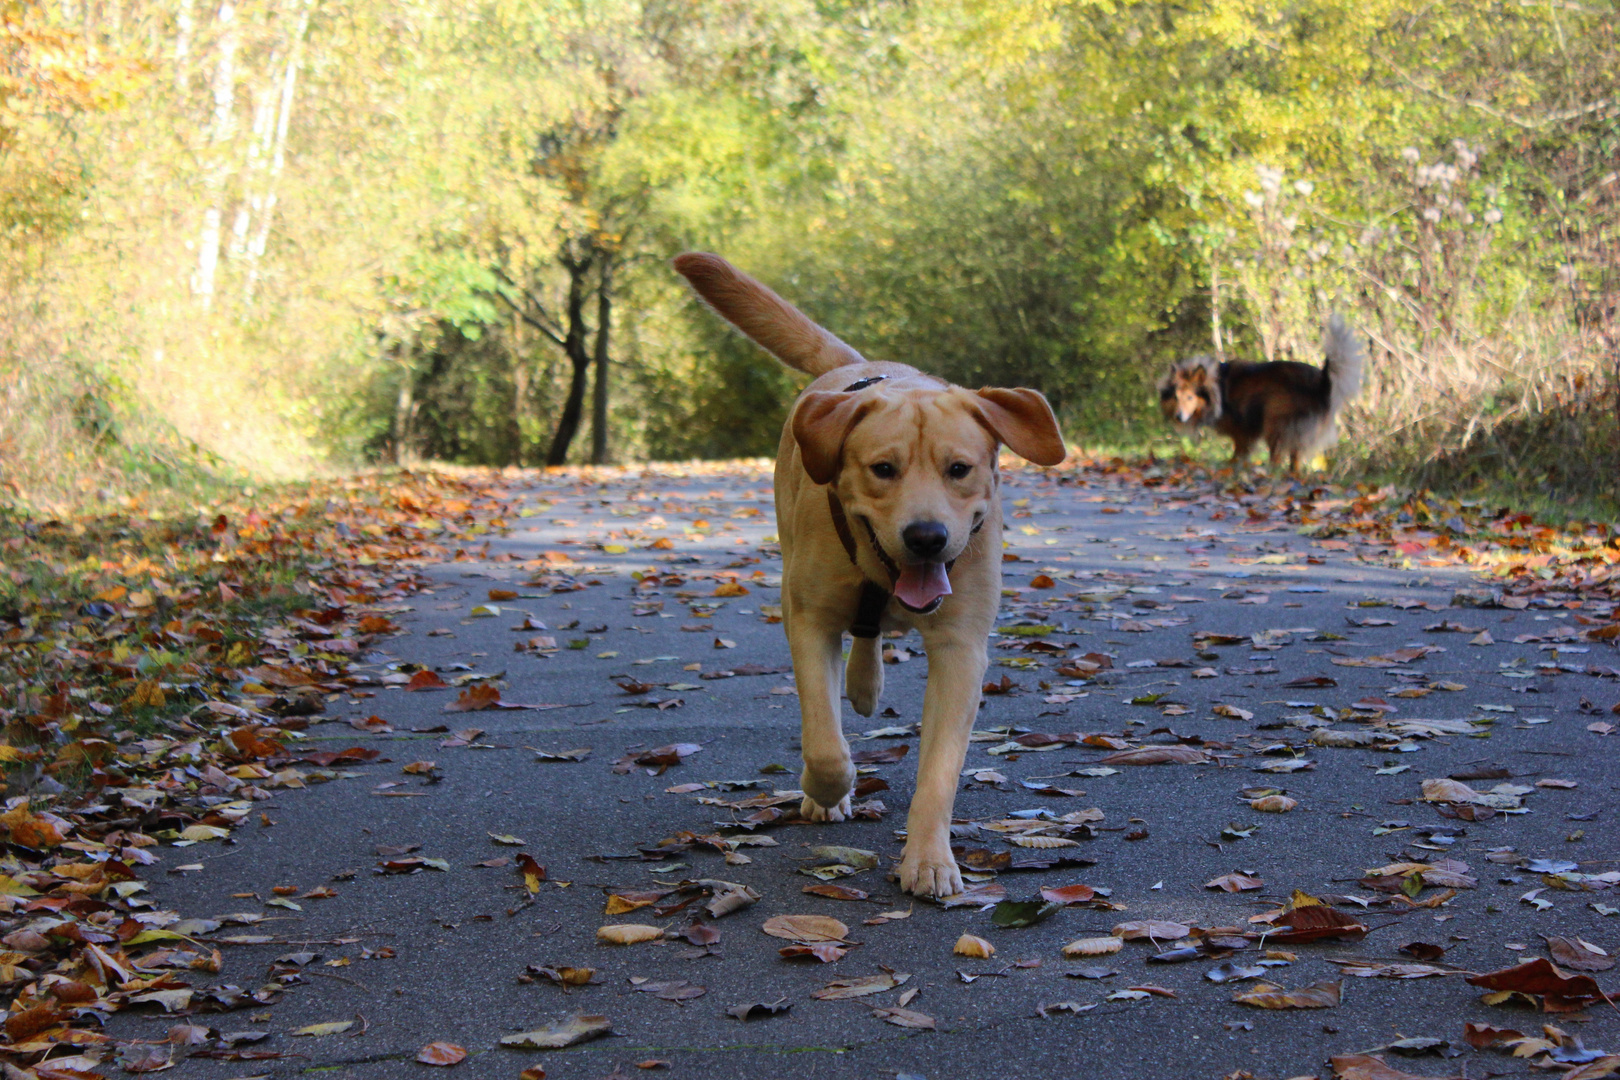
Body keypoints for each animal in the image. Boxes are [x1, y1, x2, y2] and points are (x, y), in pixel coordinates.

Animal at [670, 254, 1062, 893]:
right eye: (883, 469)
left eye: (959, 469)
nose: (926, 537)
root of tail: (856, 366)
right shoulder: (810, 621)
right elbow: (826, 745)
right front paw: (827, 790)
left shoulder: (961, 647)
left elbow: (940, 771)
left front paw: (929, 859)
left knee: (870, 638)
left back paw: (866, 683)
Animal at [1153, 317, 1367, 476]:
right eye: (1176, 397)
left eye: (1190, 397)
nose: (1179, 417)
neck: (1216, 388)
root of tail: (1323, 380)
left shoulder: (1242, 429)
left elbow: (1239, 451)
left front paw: (1231, 466)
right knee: (1295, 456)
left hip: (1274, 418)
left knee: (1277, 456)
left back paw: (1271, 472)